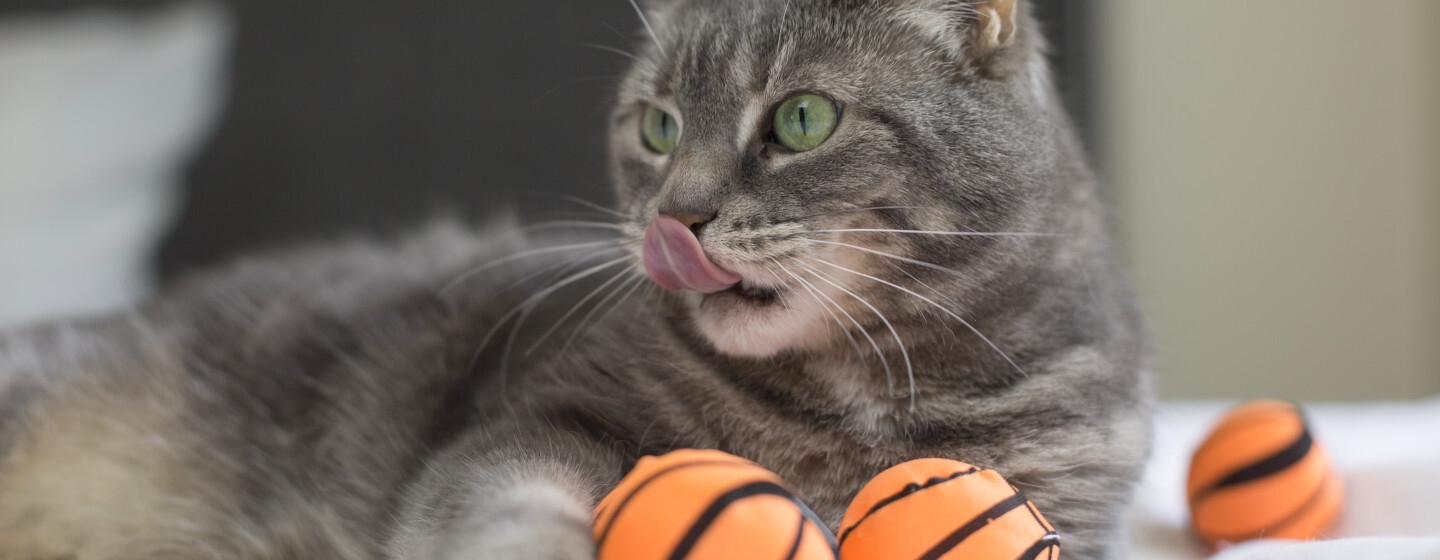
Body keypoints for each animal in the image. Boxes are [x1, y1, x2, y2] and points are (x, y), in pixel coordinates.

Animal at [0, 0, 1146, 555]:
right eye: (658, 126)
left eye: (802, 119)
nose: (676, 217)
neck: (856, 396)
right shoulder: (540, 417)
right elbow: (510, 502)